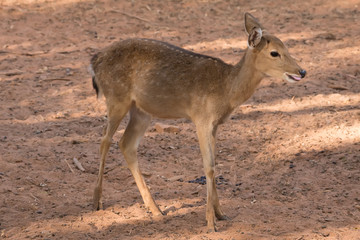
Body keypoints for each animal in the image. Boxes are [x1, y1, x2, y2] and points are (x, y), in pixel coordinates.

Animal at [88, 12, 306, 231]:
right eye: (274, 53)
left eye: (286, 47)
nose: (302, 71)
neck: (227, 90)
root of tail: (94, 62)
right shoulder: (201, 118)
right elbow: (208, 167)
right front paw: (210, 222)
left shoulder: (215, 124)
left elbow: (215, 164)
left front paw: (220, 214)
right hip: (117, 97)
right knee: (105, 140)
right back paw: (97, 202)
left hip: (141, 110)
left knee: (126, 144)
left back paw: (156, 210)